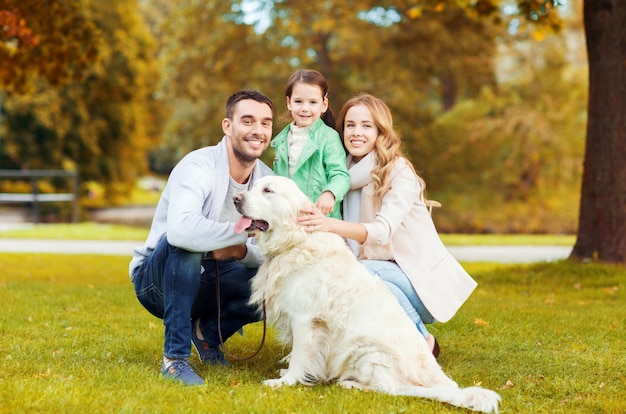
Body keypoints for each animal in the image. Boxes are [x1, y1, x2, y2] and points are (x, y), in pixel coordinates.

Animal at [232, 176, 500, 412]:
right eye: (254, 186)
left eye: (268, 190)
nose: (235, 198)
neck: (294, 241)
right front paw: (288, 373)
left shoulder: (304, 319)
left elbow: (300, 354)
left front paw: (285, 381)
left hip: (366, 351)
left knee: (389, 389)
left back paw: (350, 384)